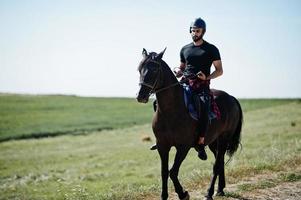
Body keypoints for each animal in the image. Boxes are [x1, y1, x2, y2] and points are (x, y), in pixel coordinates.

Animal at [136, 48, 241, 200]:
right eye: (140, 69)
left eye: (155, 69)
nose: (141, 96)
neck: (171, 110)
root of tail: (231, 98)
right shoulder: (162, 146)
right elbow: (164, 172)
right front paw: (165, 196)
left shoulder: (183, 147)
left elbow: (173, 172)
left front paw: (183, 194)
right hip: (213, 141)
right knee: (219, 161)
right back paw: (220, 189)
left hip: (224, 138)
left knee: (216, 165)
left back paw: (209, 193)